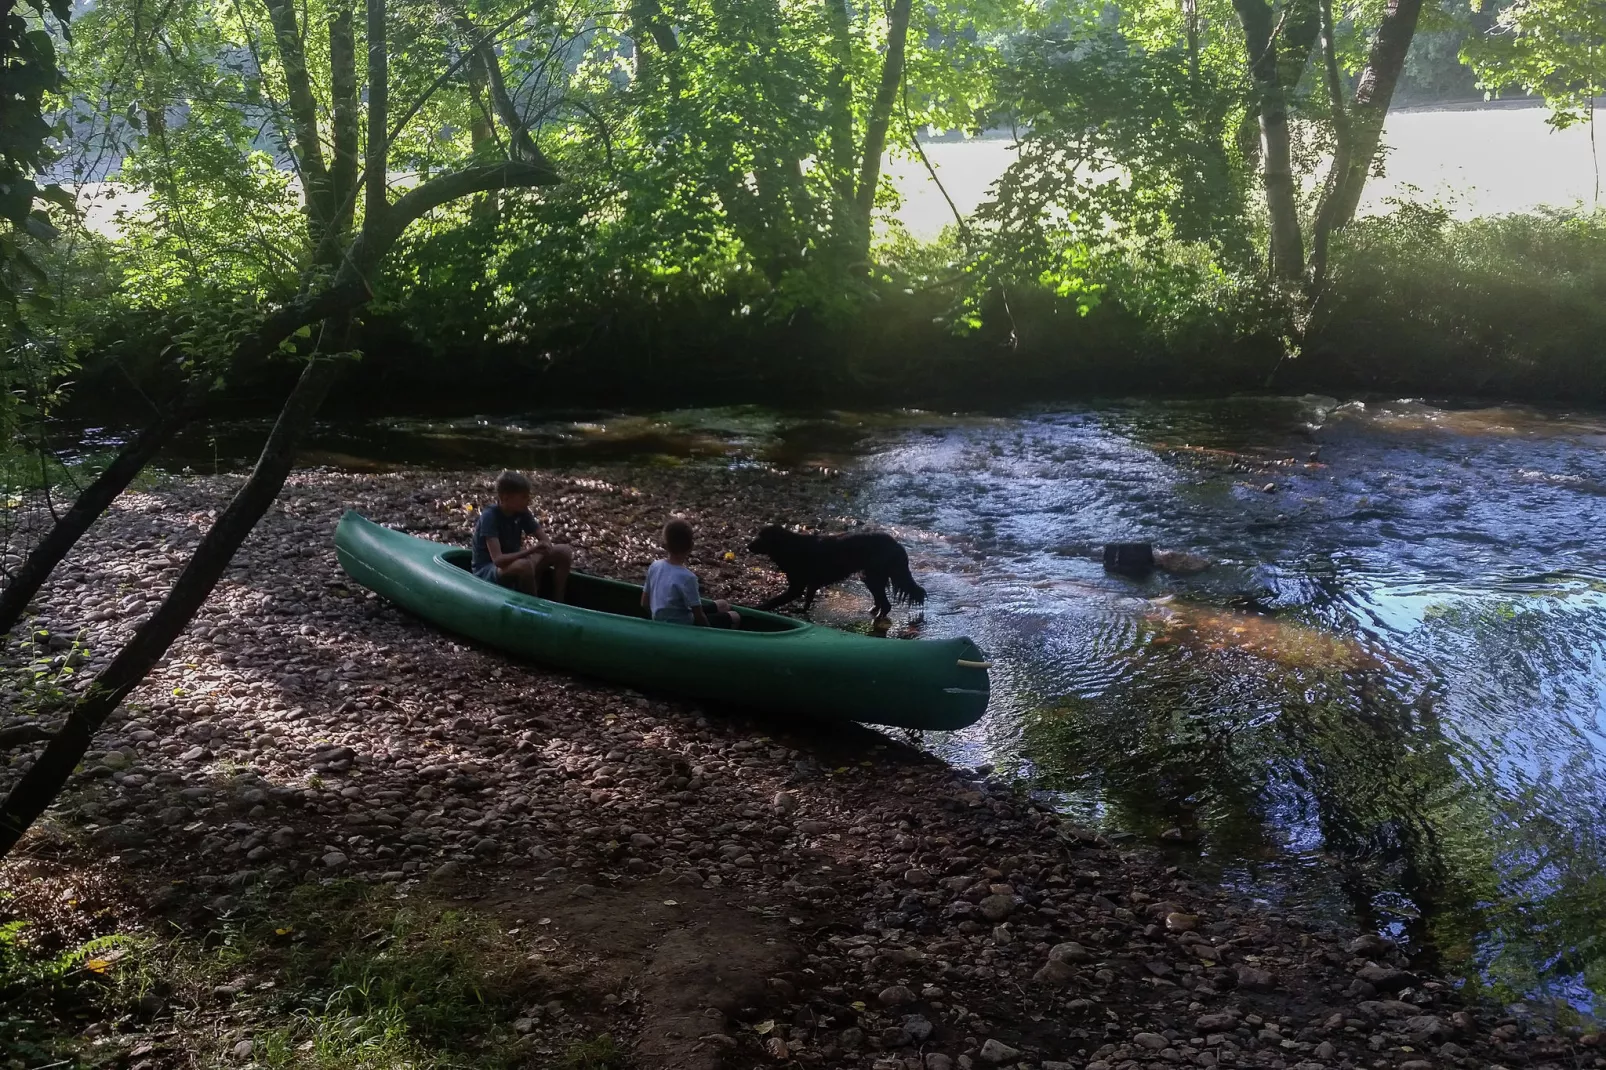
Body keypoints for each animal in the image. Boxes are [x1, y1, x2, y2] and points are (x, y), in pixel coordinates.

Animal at [741, 523, 925, 616]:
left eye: (761, 538)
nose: (748, 546)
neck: (789, 547)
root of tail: (897, 545)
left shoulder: (797, 586)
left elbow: (775, 600)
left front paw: (757, 608)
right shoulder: (811, 583)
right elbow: (808, 599)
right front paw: (802, 610)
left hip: (874, 576)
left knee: (886, 605)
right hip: (868, 576)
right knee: (880, 601)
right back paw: (873, 611)